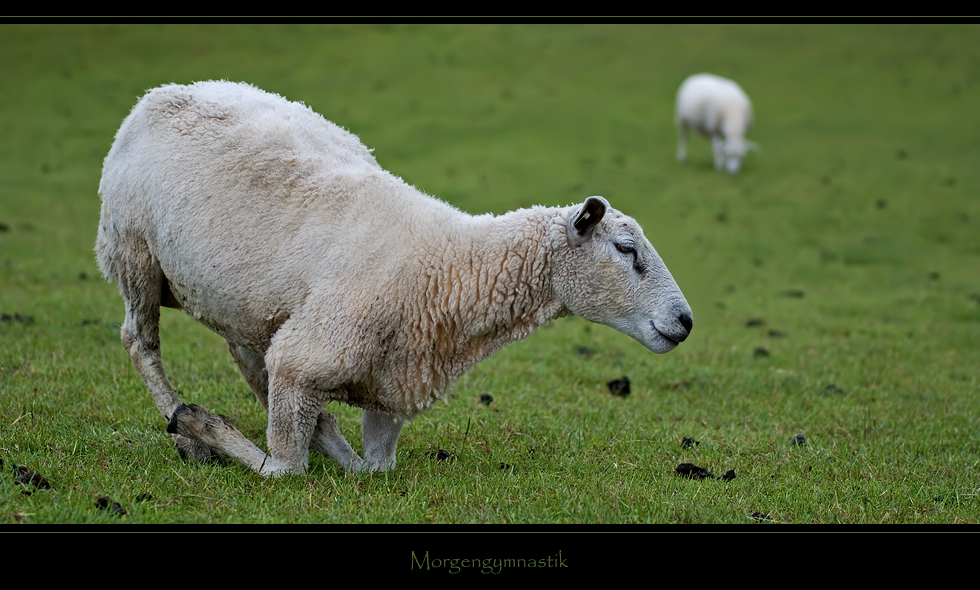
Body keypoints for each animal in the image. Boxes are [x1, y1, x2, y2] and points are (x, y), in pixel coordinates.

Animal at [97, 81, 696, 476]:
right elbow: (284, 470)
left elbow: (370, 468)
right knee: (139, 342)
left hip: (243, 303)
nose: (686, 320)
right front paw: (205, 427)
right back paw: (185, 430)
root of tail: (163, 91)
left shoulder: (389, 388)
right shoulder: (305, 356)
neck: (448, 265)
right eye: (626, 249)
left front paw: (327, 436)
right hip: (133, 250)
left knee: (244, 354)